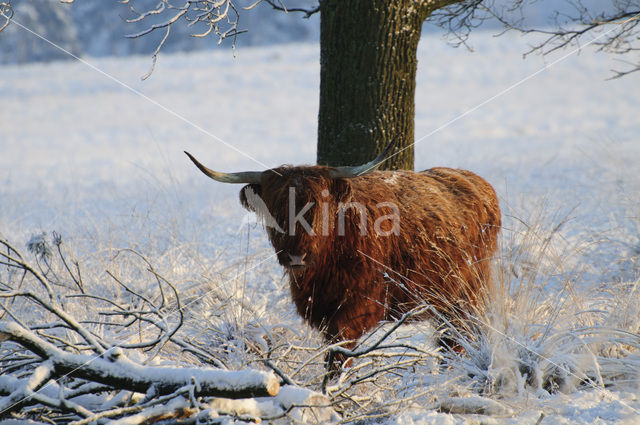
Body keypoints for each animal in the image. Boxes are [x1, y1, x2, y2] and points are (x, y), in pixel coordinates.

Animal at [185, 144, 500, 352]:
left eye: (318, 207)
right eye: (274, 209)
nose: (296, 255)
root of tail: (474, 181)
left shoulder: (354, 312)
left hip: (467, 295)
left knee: (459, 340)